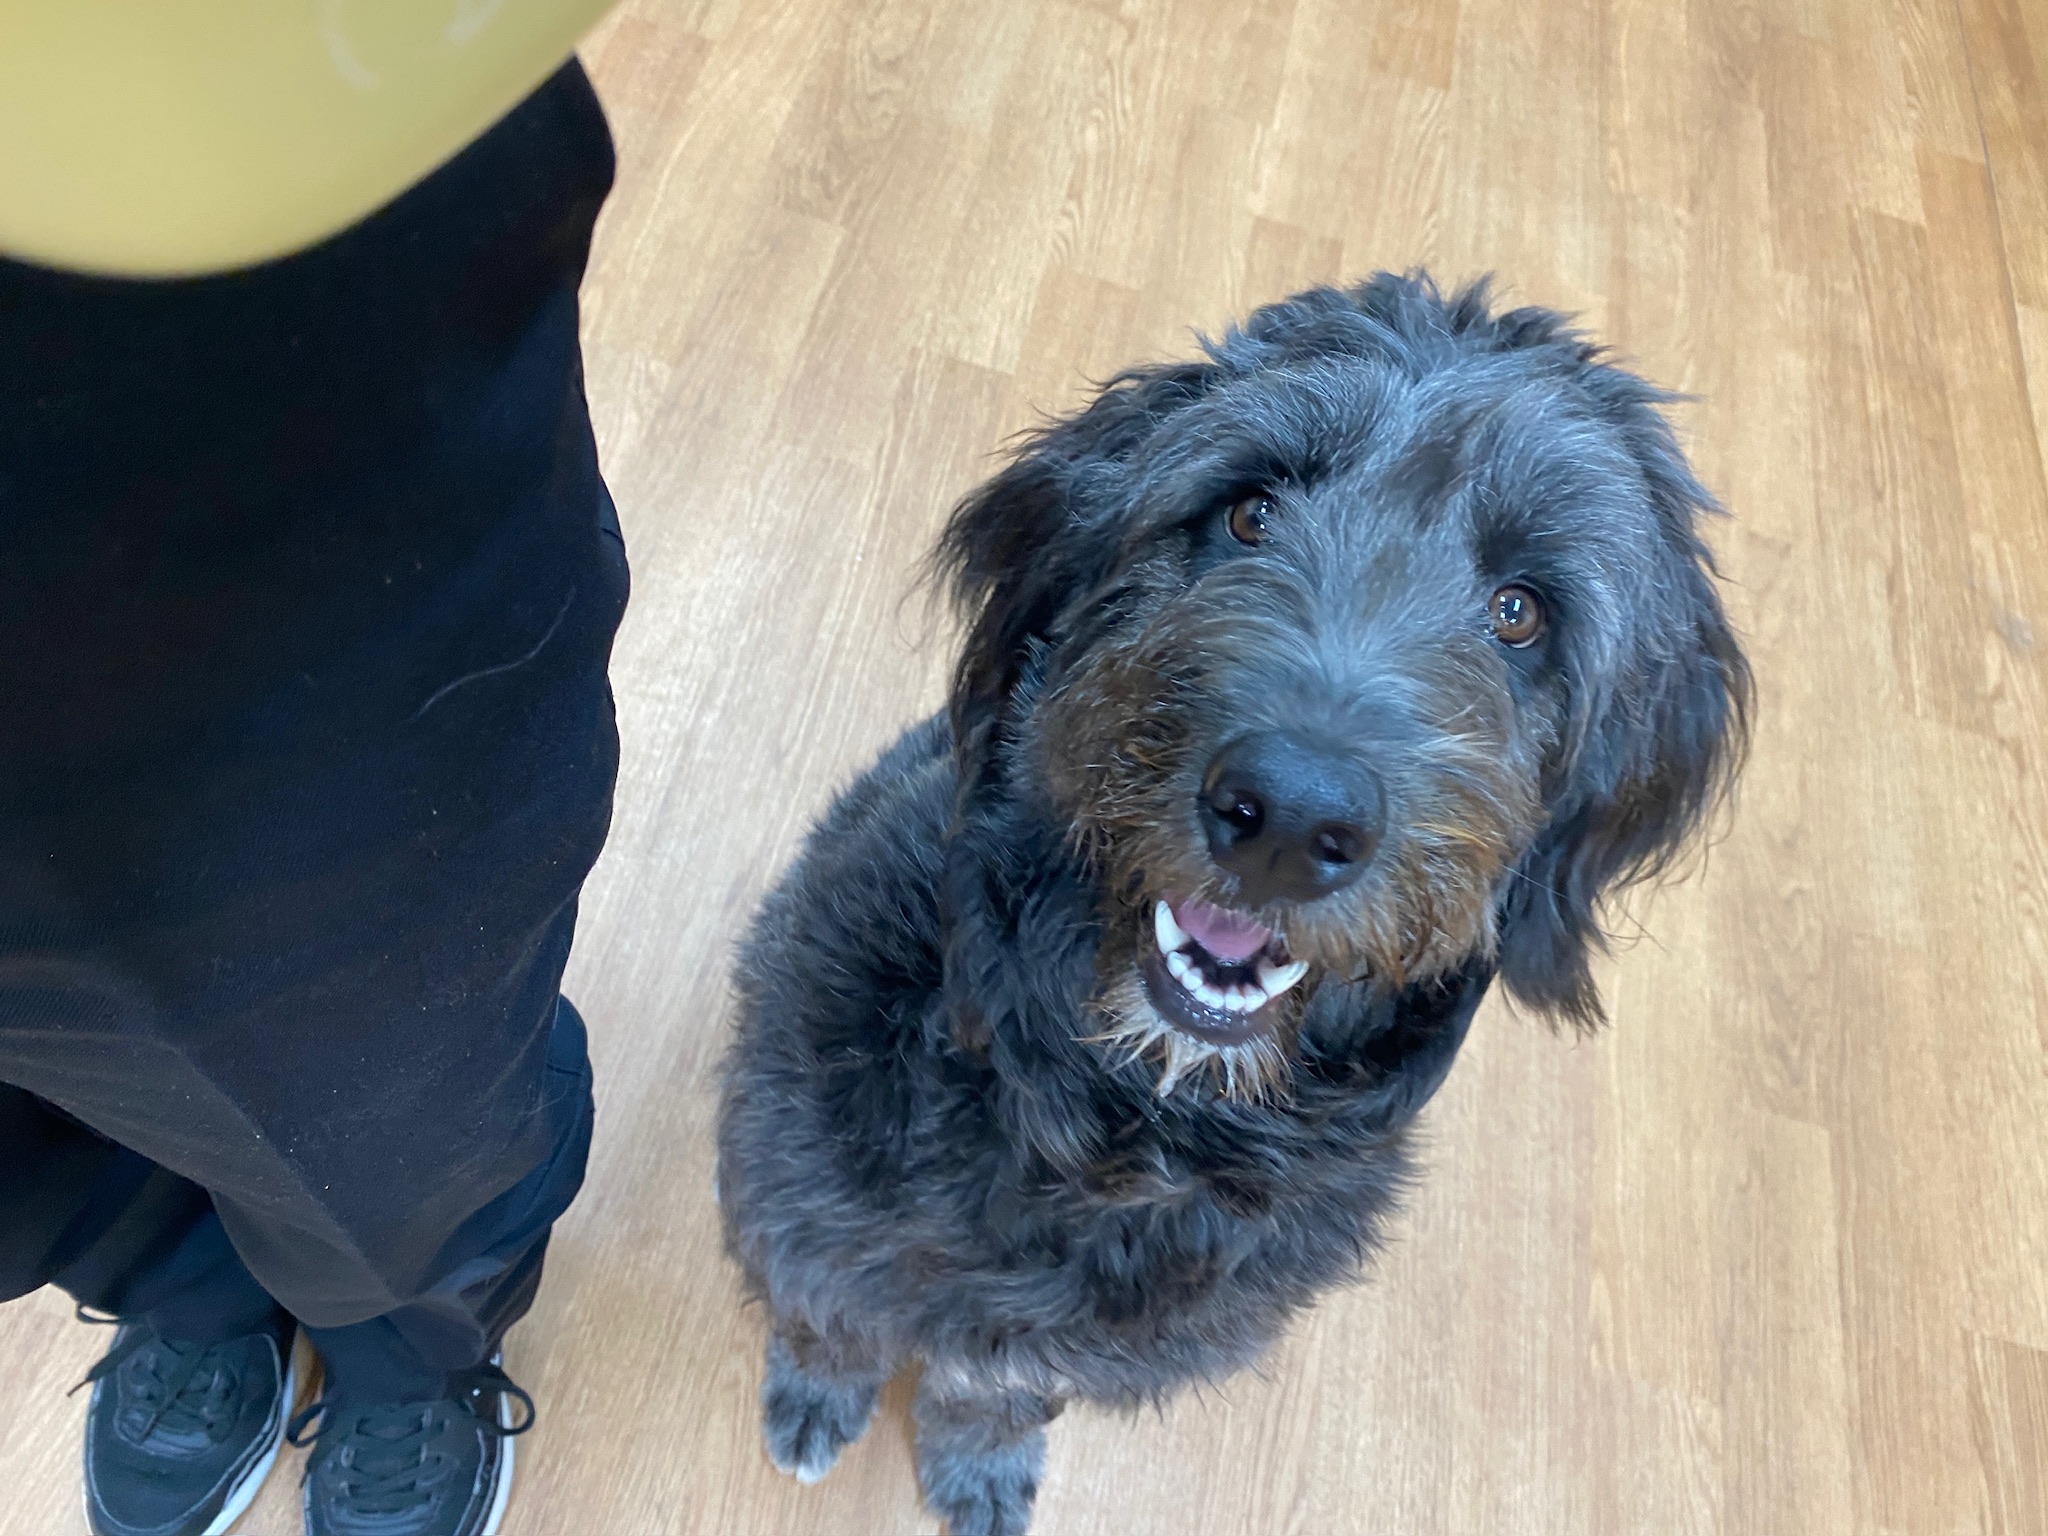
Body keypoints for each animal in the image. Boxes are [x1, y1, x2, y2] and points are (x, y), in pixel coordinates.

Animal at [715, 274, 1750, 1535]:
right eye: (1248, 513)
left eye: (1518, 610)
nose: (1292, 817)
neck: (1125, 1125)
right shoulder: (801, 1186)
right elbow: (832, 1312)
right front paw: (816, 1391)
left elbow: (991, 1387)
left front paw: (977, 1461)